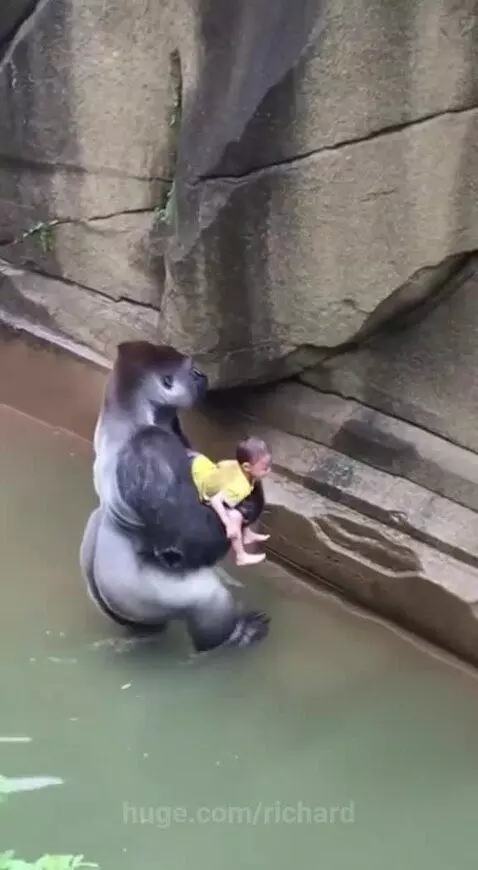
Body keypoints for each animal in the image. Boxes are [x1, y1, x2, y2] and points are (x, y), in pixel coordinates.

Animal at [79, 341, 270, 652]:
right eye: (191, 371)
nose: (203, 375)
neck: (131, 413)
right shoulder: (151, 448)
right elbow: (194, 537)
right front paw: (250, 501)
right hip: (142, 596)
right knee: (208, 598)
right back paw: (230, 639)